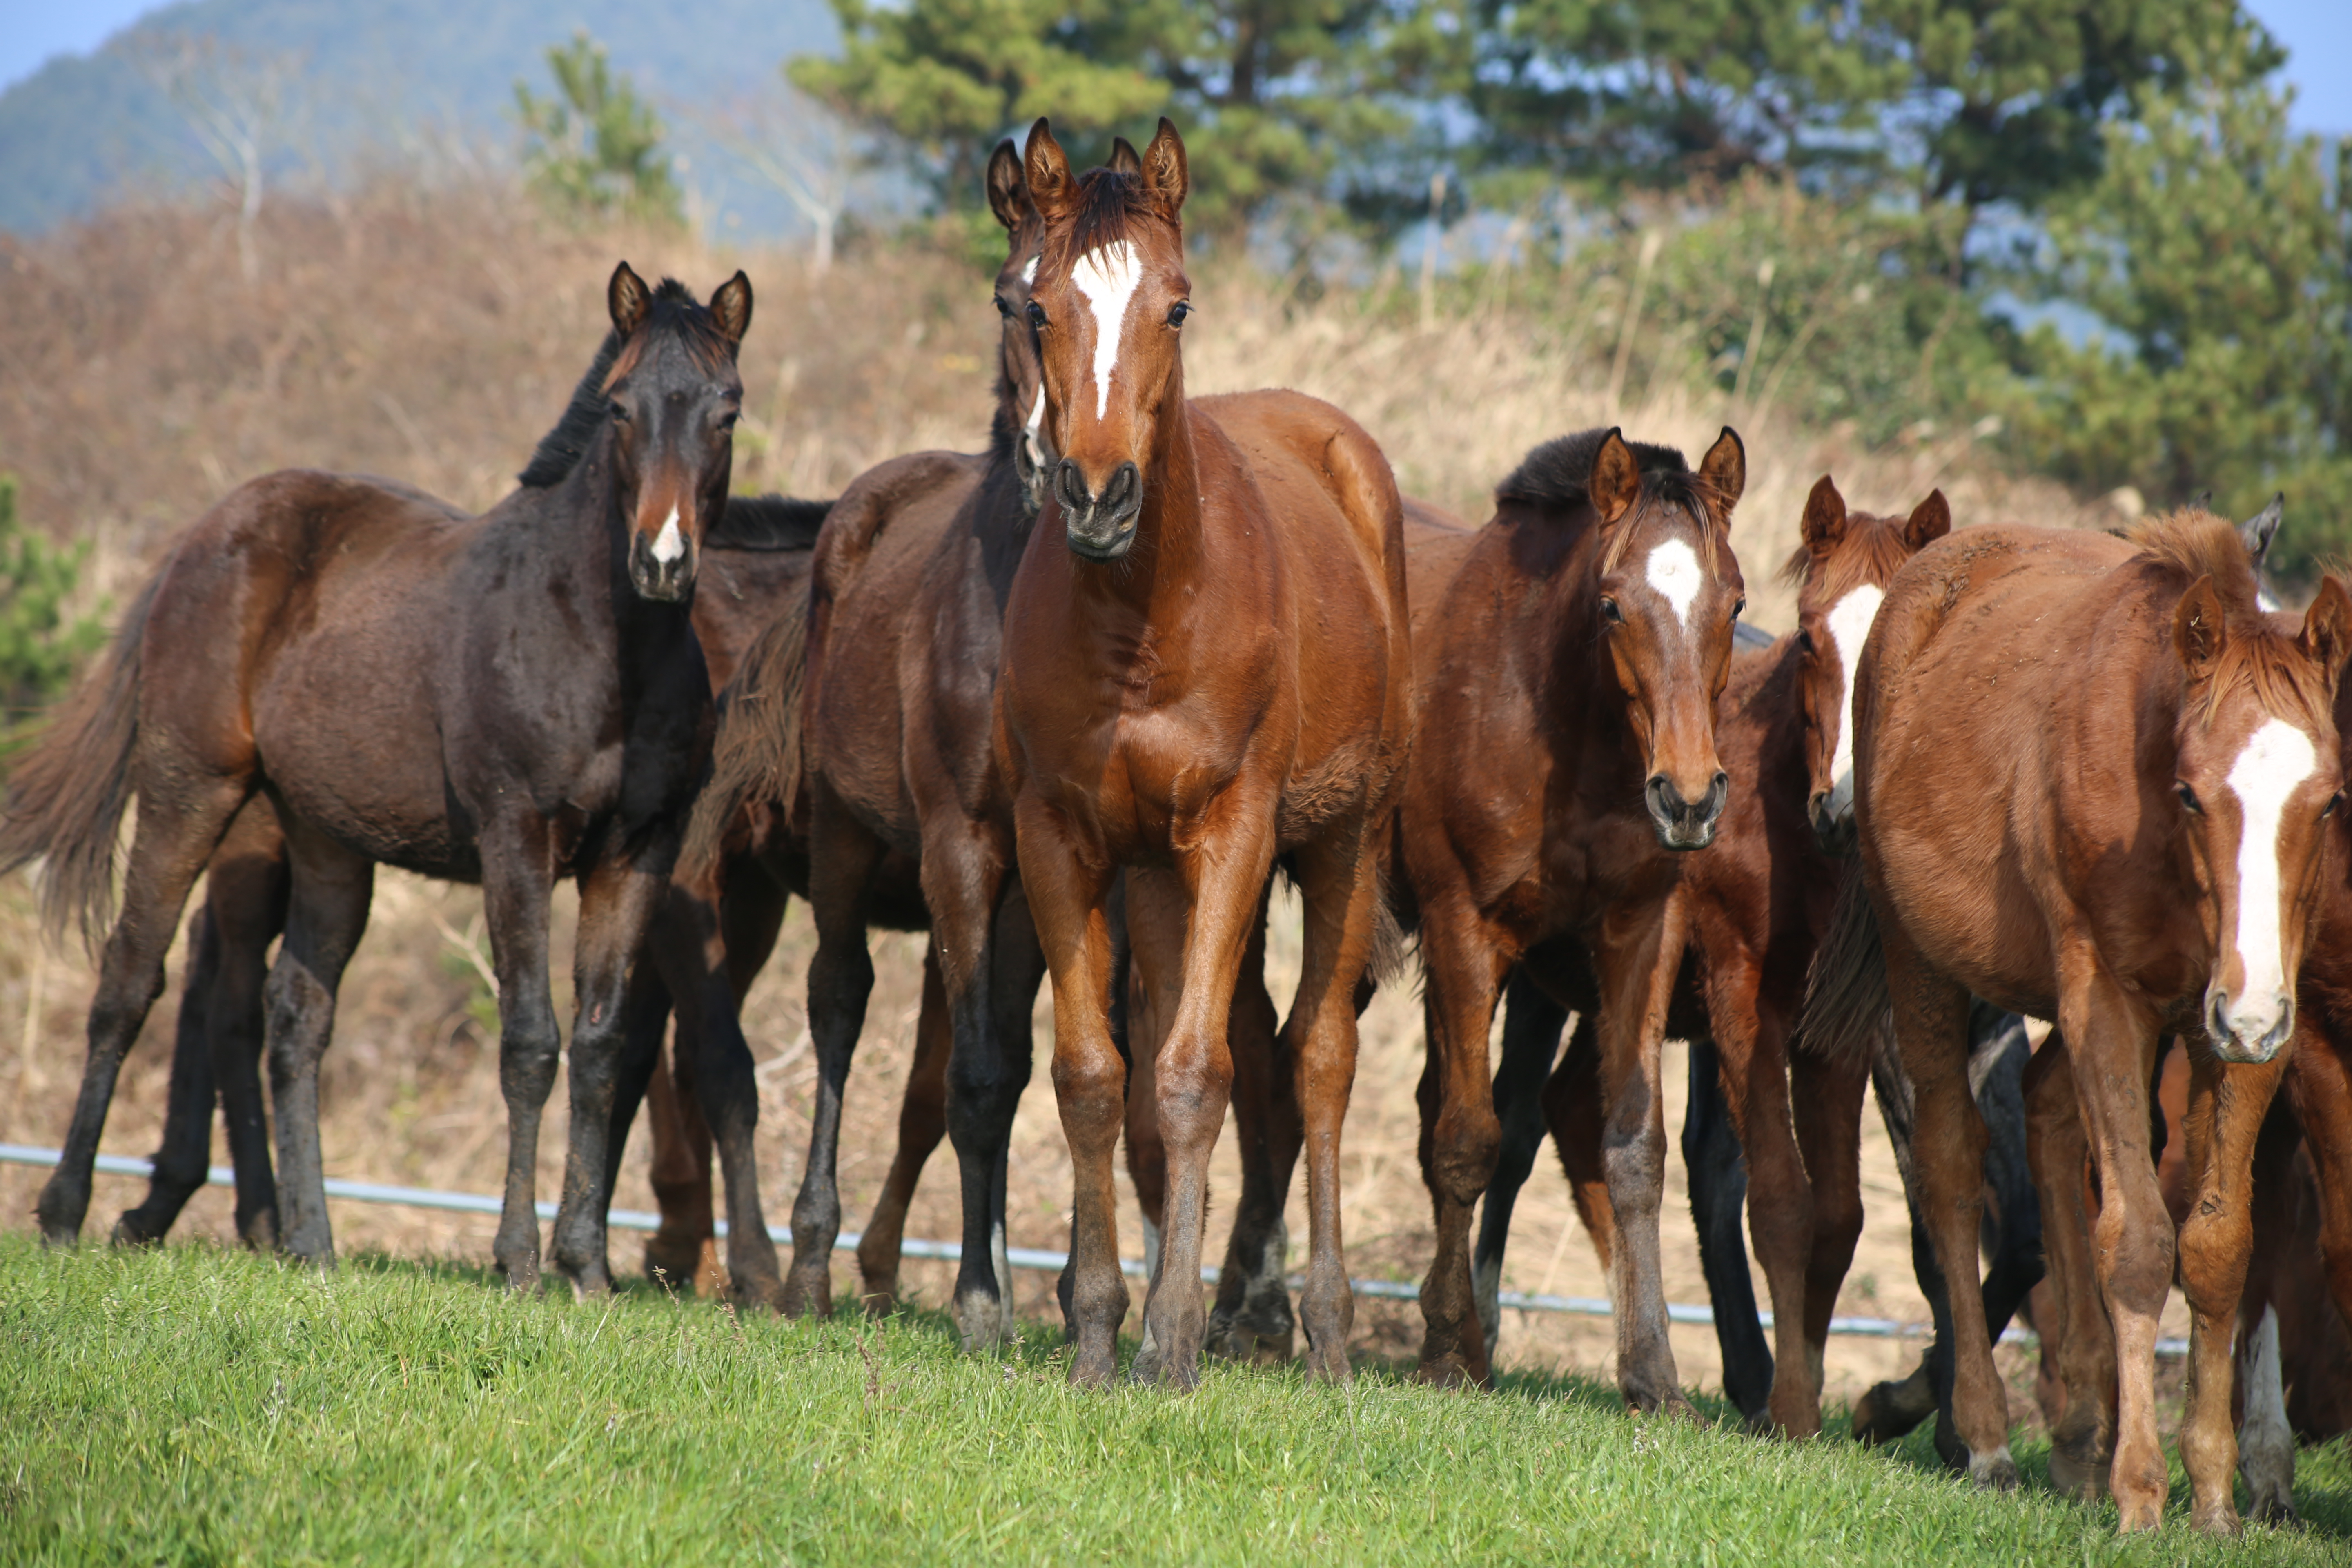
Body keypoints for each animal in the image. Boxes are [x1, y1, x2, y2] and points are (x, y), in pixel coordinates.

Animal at [0, 267, 753, 1297]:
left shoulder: (634, 854)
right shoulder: (516, 842)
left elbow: (599, 1047)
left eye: (727, 408)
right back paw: (66, 1212)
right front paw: (519, 1263)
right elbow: (531, 1043)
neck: (600, 645)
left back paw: (309, 1242)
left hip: (324, 841)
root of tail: (205, 532)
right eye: (620, 407)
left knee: (295, 1015)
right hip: (190, 791)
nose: (664, 562)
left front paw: (587, 1270)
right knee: (128, 980)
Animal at [997, 122, 1411, 1392]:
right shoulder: (1059, 837)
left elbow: (1194, 1075)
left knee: (1316, 1059)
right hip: (1153, 874)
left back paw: (1322, 1331)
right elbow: (1097, 1080)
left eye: (1175, 305)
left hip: (1341, 842)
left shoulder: (1236, 828)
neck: (1145, 614)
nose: (1096, 494)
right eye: (1034, 306)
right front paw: (1100, 1331)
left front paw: (1174, 1339)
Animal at [1392, 421, 1750, 1401]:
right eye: (1613, 607)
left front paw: (1654, 1372)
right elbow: (1466, 1141)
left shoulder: (1638, 937)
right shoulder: (1466, 931)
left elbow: (1632, 1147)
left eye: (1735, 604)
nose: (1690, 798)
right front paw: (1446, 1354)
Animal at [1806, 512, 2342, 1532]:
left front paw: (2214, 1495)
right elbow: (2135, 1243)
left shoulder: (2246, 1030)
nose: (2249, 1009)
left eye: (2331, 798)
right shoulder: (2108, 1000)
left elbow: (2218, 1247)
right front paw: (2140, 1493)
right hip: (1922, 968)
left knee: (2052, 1115)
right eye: (2191, 791)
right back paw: (1986, 1440)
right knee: (1948, 1171)